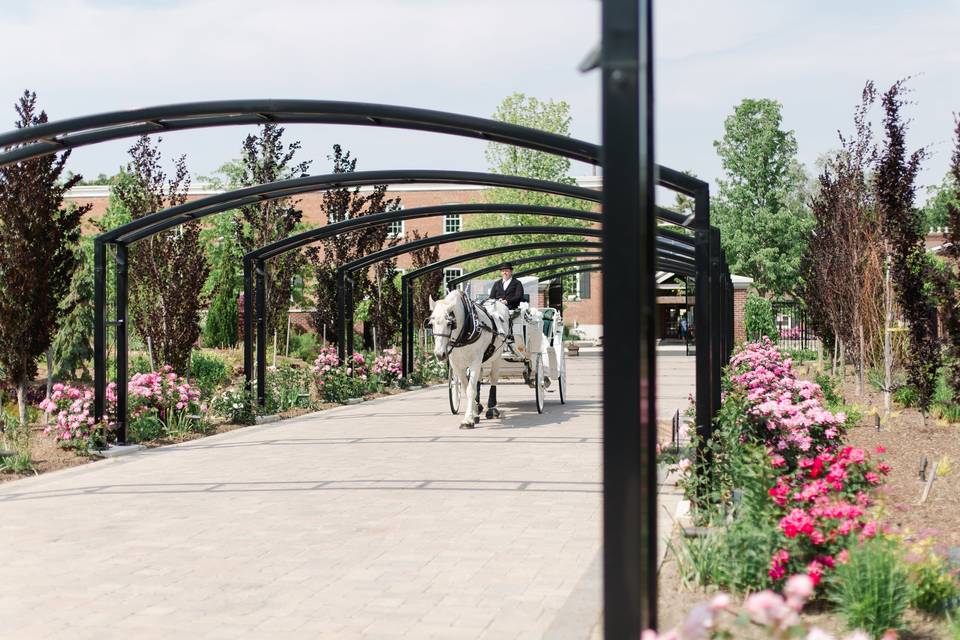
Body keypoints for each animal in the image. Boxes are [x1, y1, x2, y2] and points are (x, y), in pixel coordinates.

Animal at [430, 290, 510, 430]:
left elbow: (470, 390)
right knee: (478, 380)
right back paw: (478, 408)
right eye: (431, 324)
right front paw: (473, 414)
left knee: (493, 379)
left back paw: (492, 408)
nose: (440, 354)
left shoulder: (475, 362)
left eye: (449, 323)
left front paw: (467, 420)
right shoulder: (457, 365)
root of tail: (497, 302)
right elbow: (466, 387)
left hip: (497, 357)